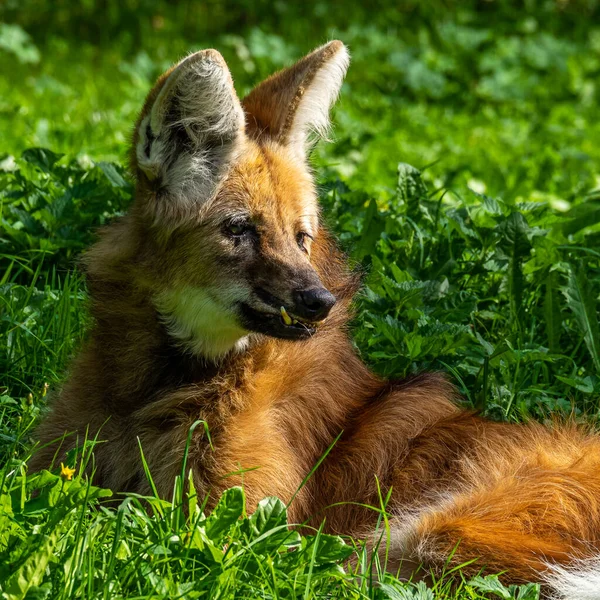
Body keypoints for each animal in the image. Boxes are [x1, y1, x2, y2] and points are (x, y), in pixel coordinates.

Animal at [30, 41, 600, 596]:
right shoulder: (56, 464)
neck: (155, 385)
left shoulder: (236, 523)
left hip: (425, 534)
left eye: (301, 237)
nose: (318, 300)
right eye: (240, 229)